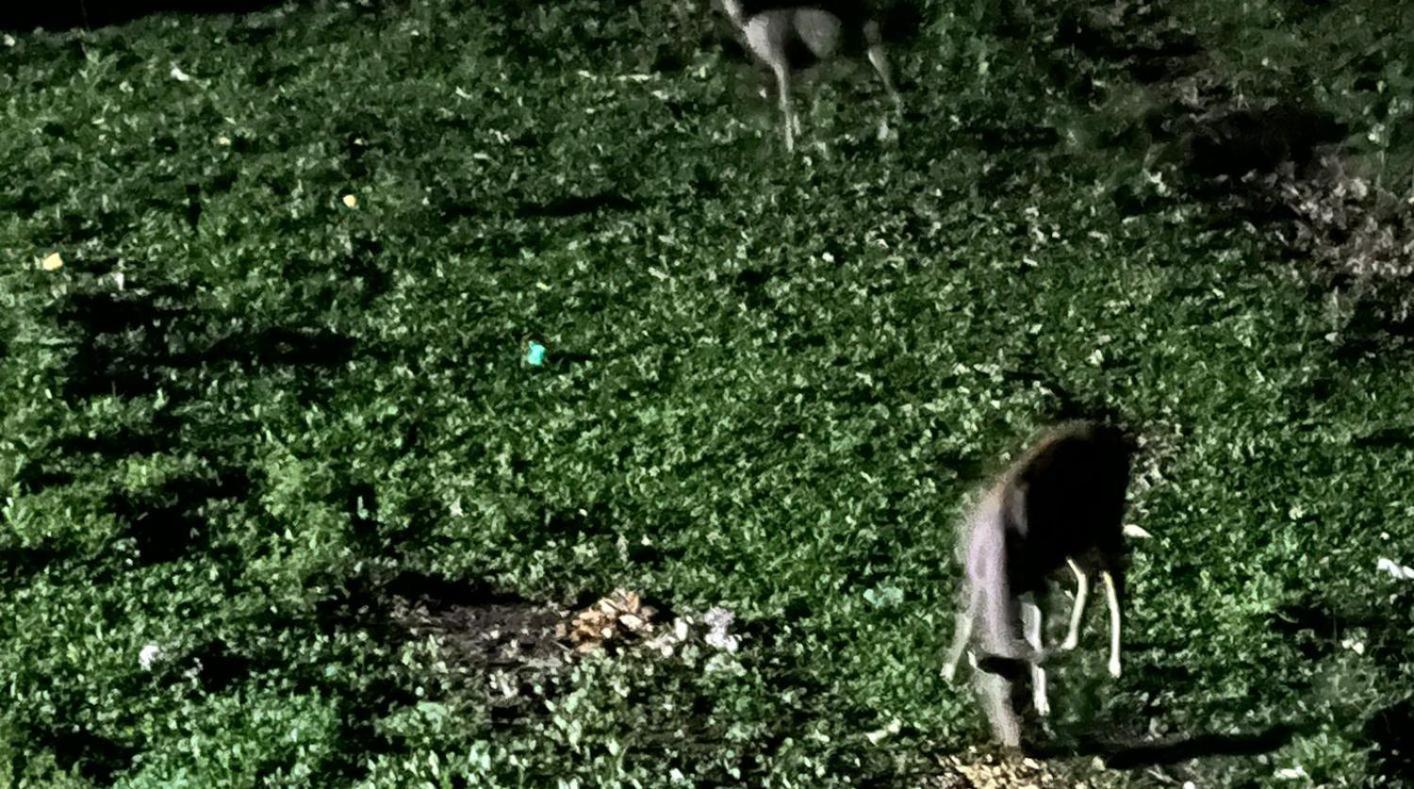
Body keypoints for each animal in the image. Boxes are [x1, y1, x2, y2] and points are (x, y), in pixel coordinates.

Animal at [944, 421, 1142, 746]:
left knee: (1114, 574)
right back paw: (1073, 639)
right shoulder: (976, 578)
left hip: (1104, 520)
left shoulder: (1034, 583)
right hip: (1071, 541)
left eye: (1016, 694)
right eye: (985, 689)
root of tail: (1107, 430)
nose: (1014, 742)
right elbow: (967, 618)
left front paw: (1043, 702)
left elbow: (1036, 637)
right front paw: (947, 670)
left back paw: (1115, 664)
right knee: (1087, 574)